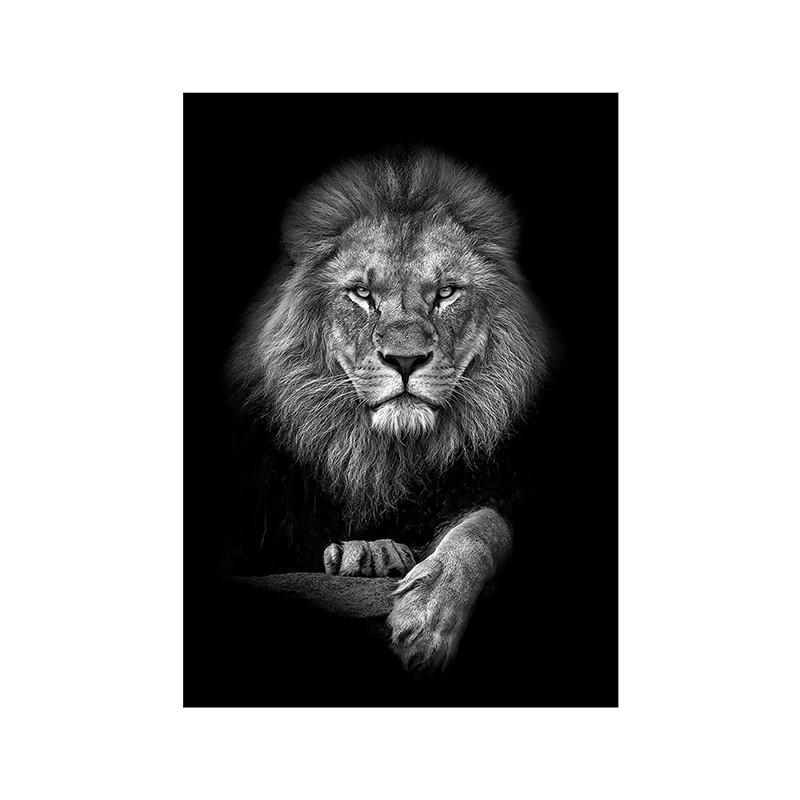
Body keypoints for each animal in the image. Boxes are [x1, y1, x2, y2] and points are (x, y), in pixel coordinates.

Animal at [227, 148, 551, 675]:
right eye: (362, 294)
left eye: (446, 292)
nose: (404, 359)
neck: (387, 456)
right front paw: (370, 553)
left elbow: (485, 527)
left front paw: (428, 616)